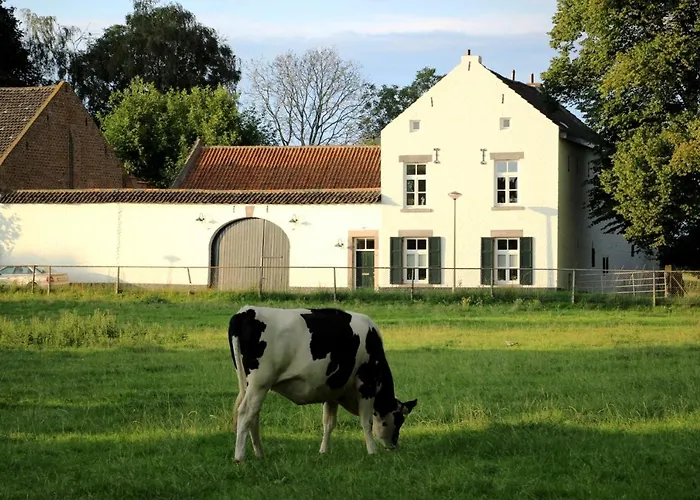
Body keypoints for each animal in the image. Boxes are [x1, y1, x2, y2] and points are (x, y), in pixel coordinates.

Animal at [227, 305, 418, 462]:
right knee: (245, 412)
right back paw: (240, 457)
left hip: (252, 385)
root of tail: (245, 312)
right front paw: (372, 450)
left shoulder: (332, 390)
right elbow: (366, 421)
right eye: (399, 420)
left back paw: (259, 453)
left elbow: (329, 423)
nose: (394, 445)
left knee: (254, 416)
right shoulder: (366, 384)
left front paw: (324, 451)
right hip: (259, 384)